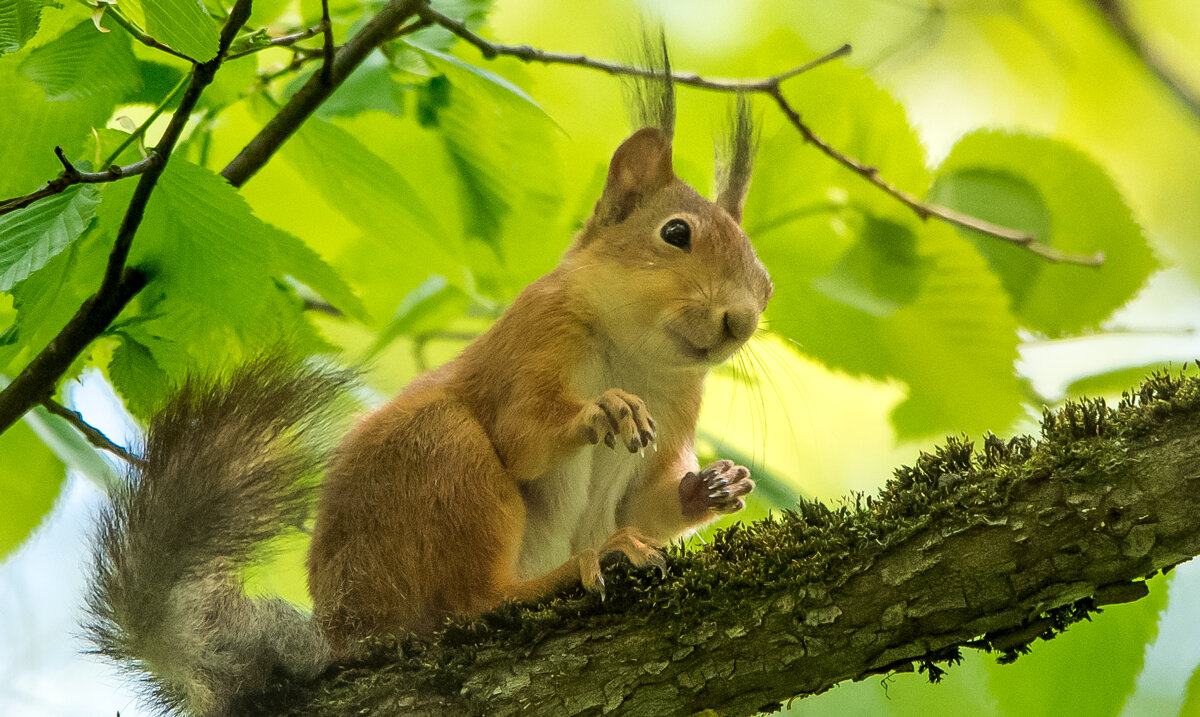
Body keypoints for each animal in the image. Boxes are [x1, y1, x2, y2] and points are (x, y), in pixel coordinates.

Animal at [82, 40, 768, 717]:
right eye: (675, 233)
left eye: (764, 280)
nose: (741, 319)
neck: (638, 355)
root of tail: (346, 628)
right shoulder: (533, 338)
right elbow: (523, 433)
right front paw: (602, 409)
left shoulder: (678, 407)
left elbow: (645, 505)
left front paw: (715, 486)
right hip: (445, 460)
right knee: (473, 600)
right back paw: (580, 565)